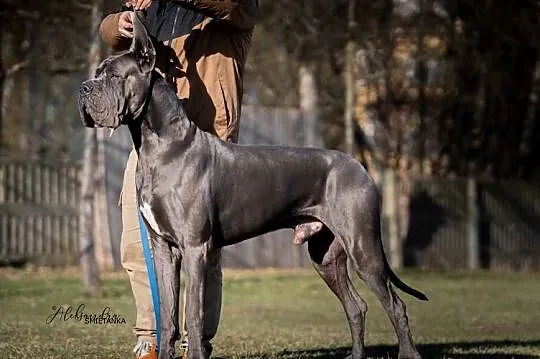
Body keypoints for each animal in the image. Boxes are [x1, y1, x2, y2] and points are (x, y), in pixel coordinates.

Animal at [78, 13, 428, 359]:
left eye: (112, 76)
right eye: (96, 73)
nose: (83, 88)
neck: (160, 146)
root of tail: (360, 166)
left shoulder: (195, 247)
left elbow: (193, 315)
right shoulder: (163, 248)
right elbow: (167, 315)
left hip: (362, 247)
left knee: (396, 305)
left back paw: (408, 353)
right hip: (325, 255)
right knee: (356, 306)